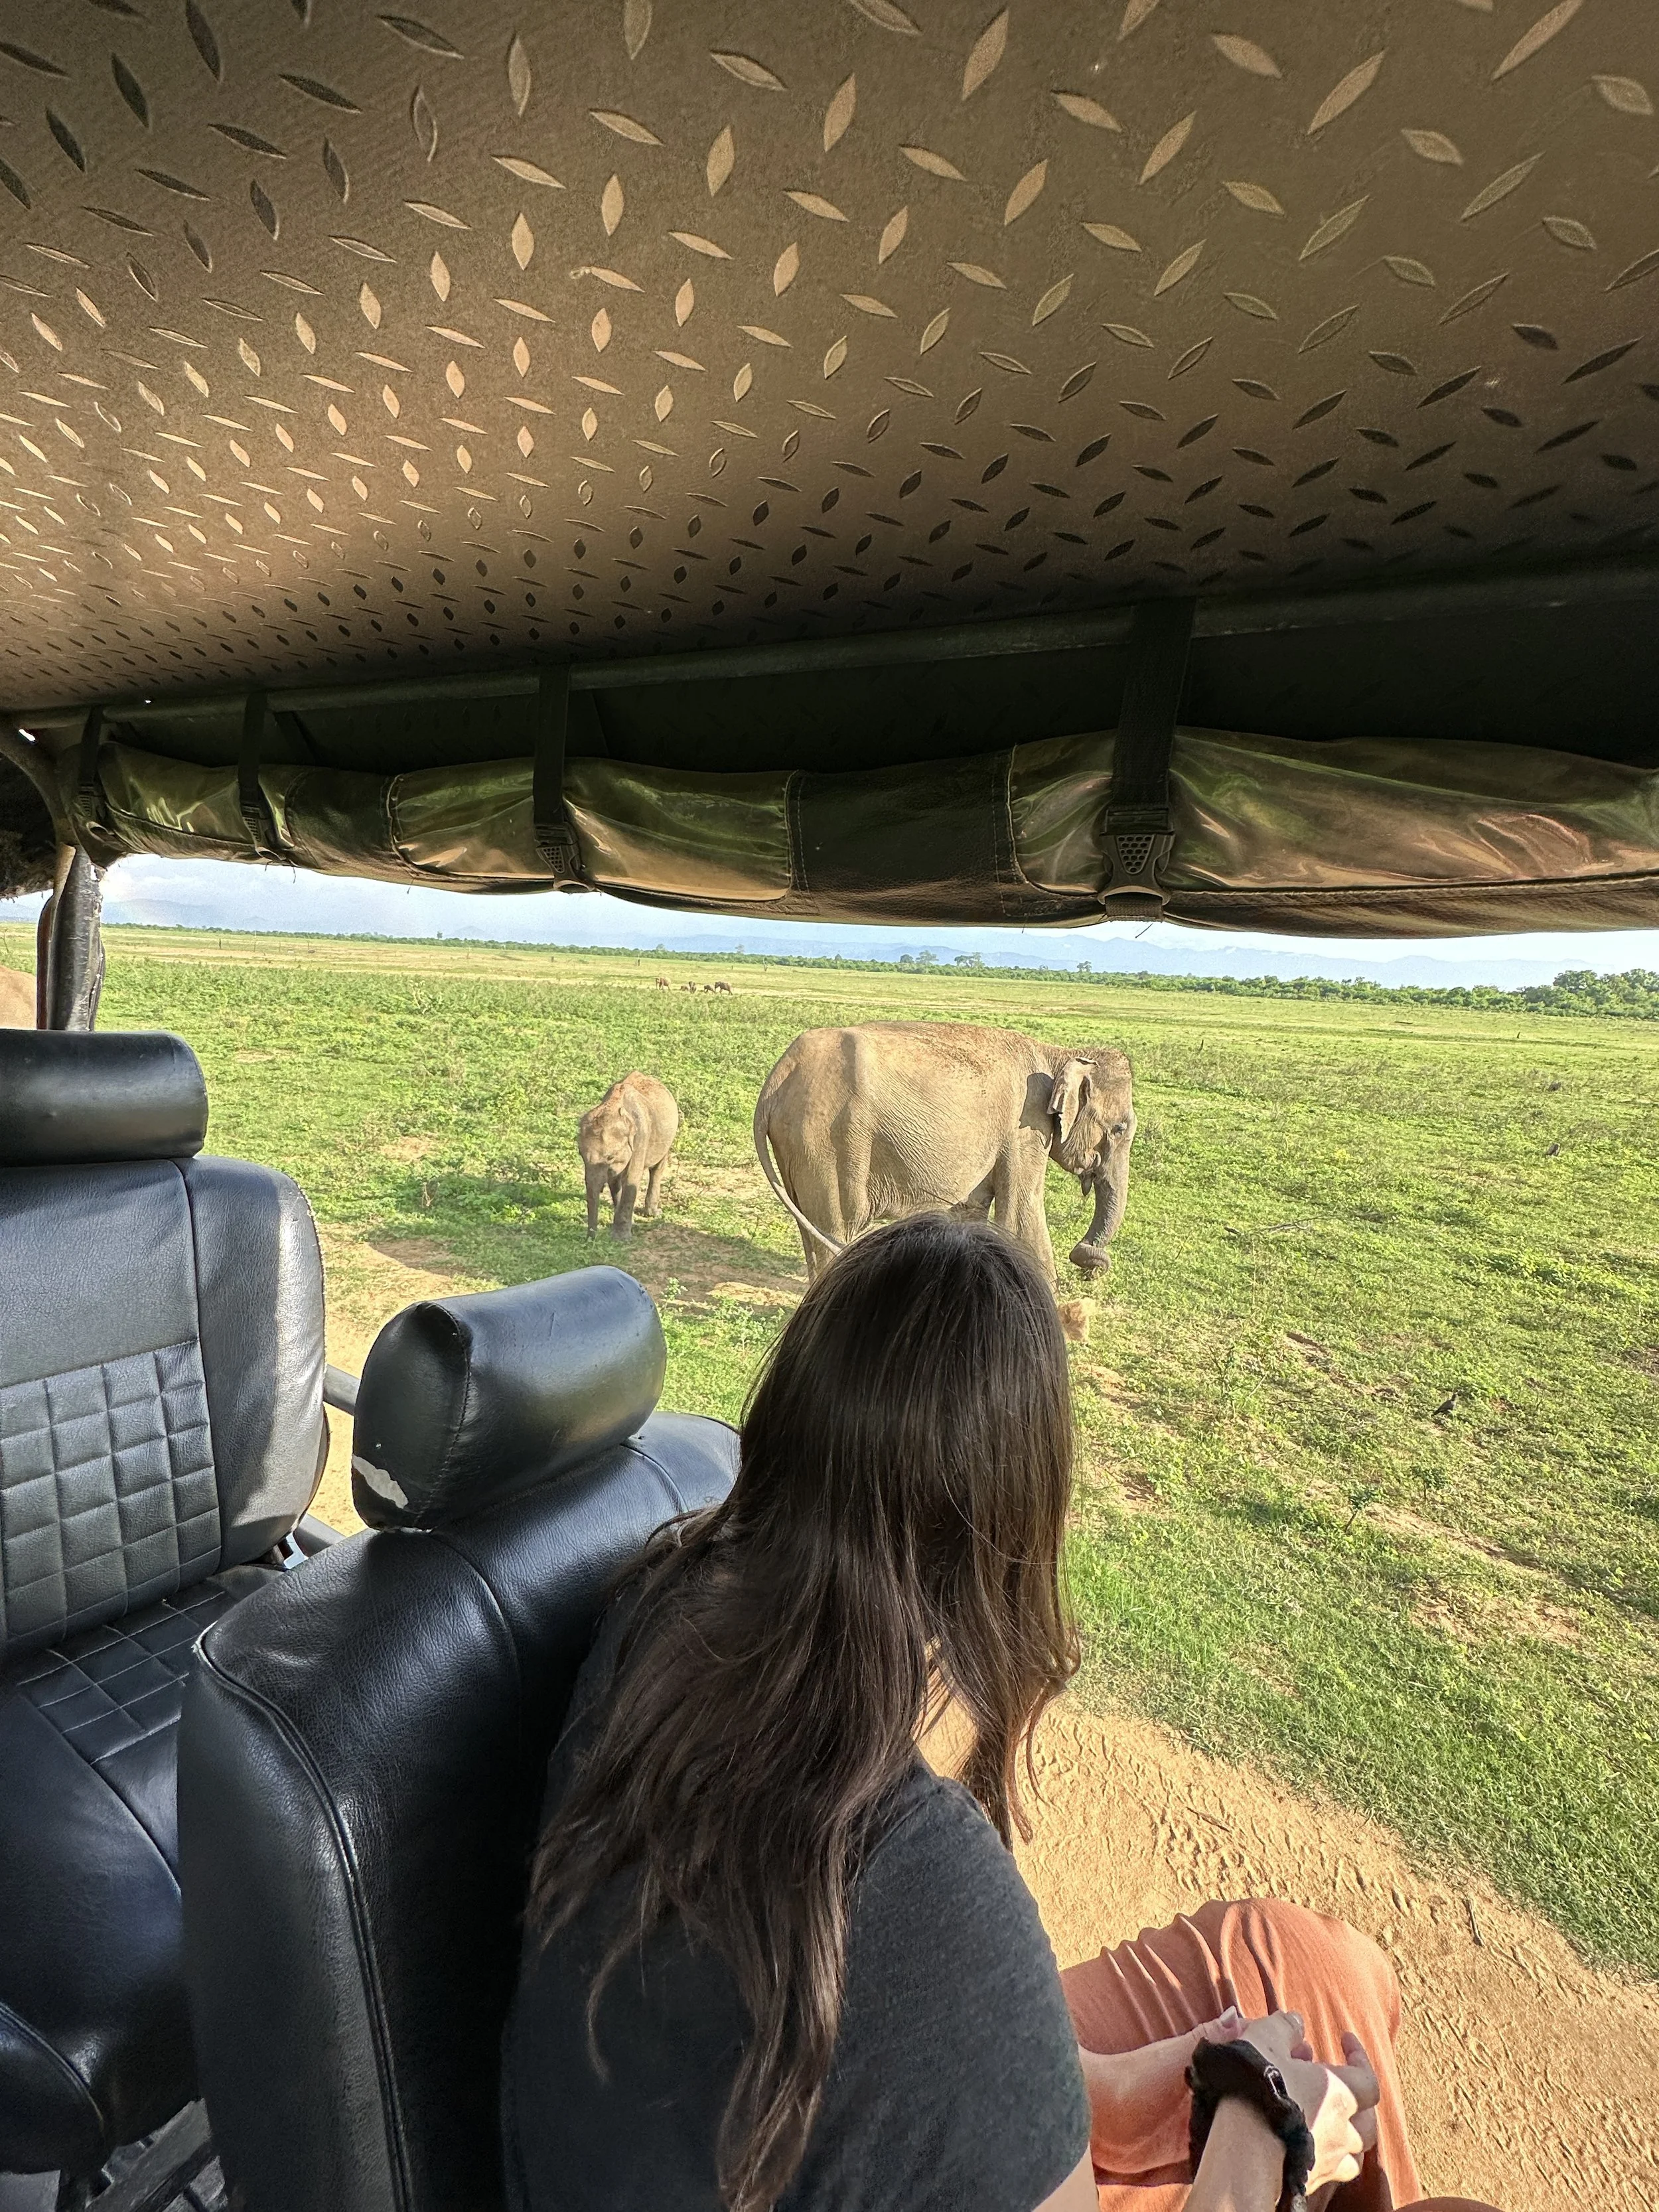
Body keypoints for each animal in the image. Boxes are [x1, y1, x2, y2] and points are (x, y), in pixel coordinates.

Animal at [578, 1071, 680, 1239]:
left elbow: (631, 1178)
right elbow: (615, 1180)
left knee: (658, 1168)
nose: (589, 1240)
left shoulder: (641, 1138)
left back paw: (654, 1213)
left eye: (610, 1157)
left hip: (667, 1138)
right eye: (581, 1156)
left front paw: (621, 1239)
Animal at [753, 1023, 1135, 1287]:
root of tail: (777, 1077)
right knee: (836, 1227)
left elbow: (972, 1216)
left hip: (798, 1144)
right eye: (1119, 1129)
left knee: (813, 1232)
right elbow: (1021, 1211)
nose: (1091, 1265)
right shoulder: (1024, 1130)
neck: (1060, 1054)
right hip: (828, 1140)